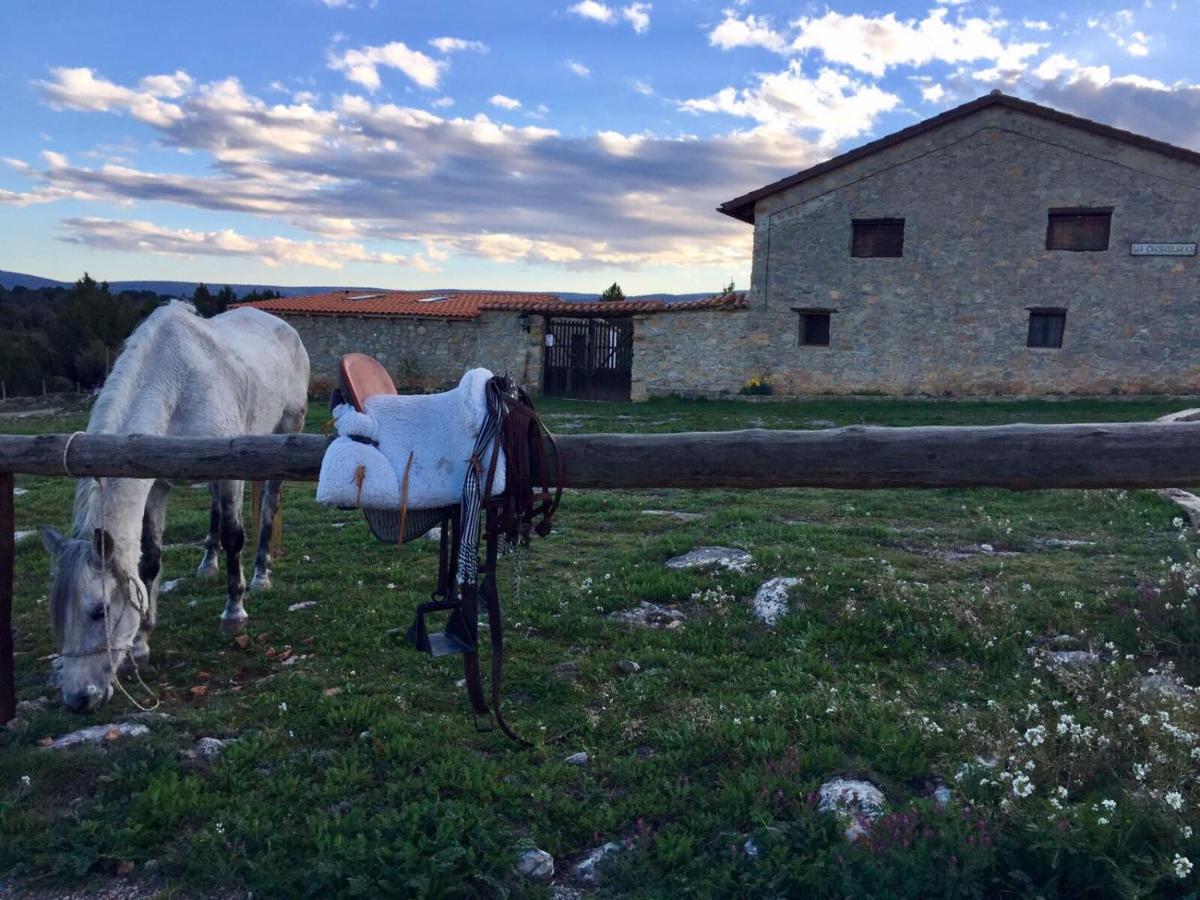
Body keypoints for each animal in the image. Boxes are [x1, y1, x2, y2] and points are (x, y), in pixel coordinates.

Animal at [41, 301, 309, 710]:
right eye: (56, 613)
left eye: (99, 611)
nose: (78, 699)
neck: (176, 382)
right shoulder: (157, 482)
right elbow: (149, 560)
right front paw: (140, 645)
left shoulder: (229, 474)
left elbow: (234, 536)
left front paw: (234, 613)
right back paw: (207, 564)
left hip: (285, 430)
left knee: (268, 504)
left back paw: (262, 573)